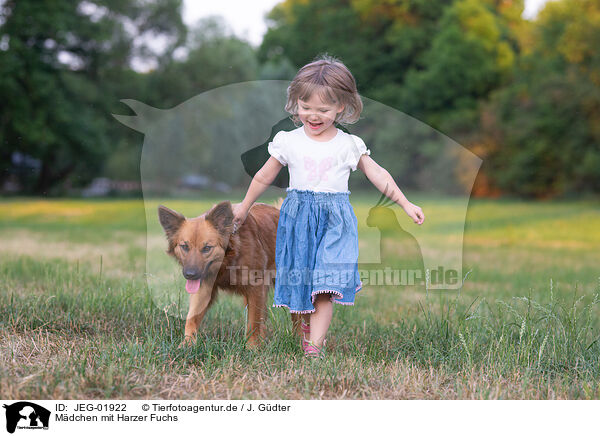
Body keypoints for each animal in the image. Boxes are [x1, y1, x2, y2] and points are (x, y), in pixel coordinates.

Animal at [157, 201, 302, 348]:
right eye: (185, 247)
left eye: (207, 248)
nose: (190, 275)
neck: (228, 261)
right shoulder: (204, 288)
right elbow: (192, 317)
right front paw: (187, 344)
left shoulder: (256, 288)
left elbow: (253, 322)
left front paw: (252, 347)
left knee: (298, 316)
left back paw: (299, 340)